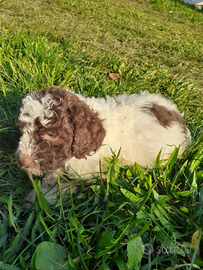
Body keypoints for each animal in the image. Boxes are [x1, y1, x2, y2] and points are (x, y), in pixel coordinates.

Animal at [16, 86, 192, 202]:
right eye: (22, 129)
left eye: (50, 134)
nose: (23, 162)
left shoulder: (90, 173)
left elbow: (66, 185)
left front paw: (41, 198)